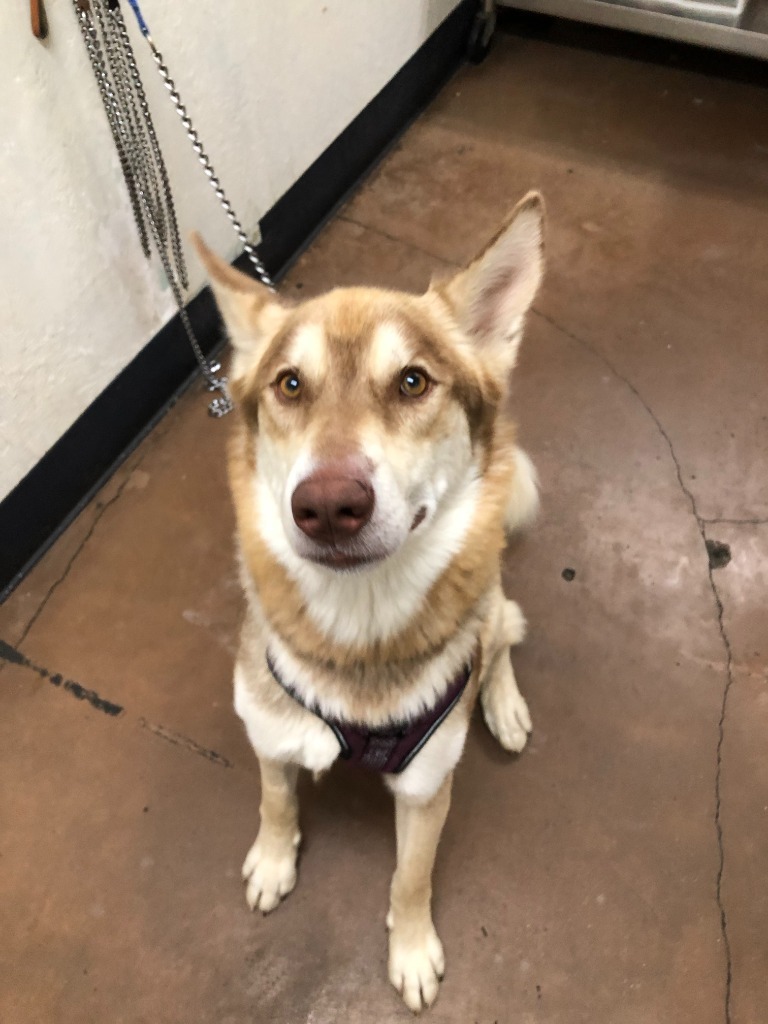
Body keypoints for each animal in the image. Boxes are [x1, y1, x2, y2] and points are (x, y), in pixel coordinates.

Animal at [195, 193, 544, 1015]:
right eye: (289, 385)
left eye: (413, 382)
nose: (327, 506)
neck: (359, 629)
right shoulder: (268, 733)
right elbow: (275, 800)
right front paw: (273, 859)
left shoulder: (425, 788)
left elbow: (411, 878)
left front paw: (411, 950)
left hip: (492, 610)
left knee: (500, 635)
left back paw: (503, 704)